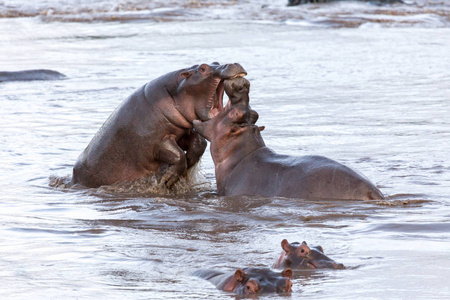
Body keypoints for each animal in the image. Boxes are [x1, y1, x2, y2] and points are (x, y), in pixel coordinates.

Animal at [71, 62, 246, 189]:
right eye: (203, 68)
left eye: (215, 62)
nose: (233, 63)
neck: (174, 92)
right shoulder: (156, 142)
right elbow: (177, 155)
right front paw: (167, 179)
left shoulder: (181, 133)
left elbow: (198, 143)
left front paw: (188, 163)